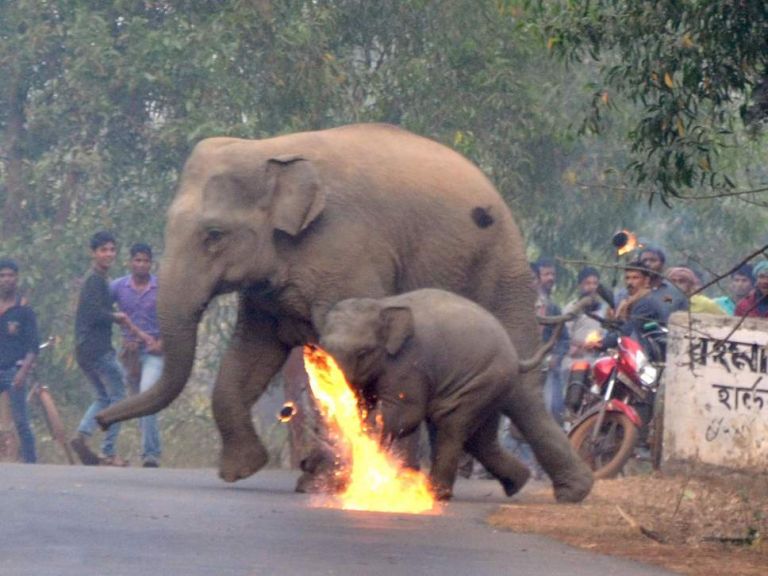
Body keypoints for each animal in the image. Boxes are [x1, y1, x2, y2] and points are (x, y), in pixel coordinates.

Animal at [318, 288, 566, 500]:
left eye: (363, 352)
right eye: (321, 348)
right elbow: (366, 405)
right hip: (491, 387)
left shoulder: (409, 363)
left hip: (483, 380)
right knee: (480, 439)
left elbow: (406, 413)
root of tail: (514, 354)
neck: (382, 305)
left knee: (451, 423)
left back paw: (437, 494)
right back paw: (517, 483)